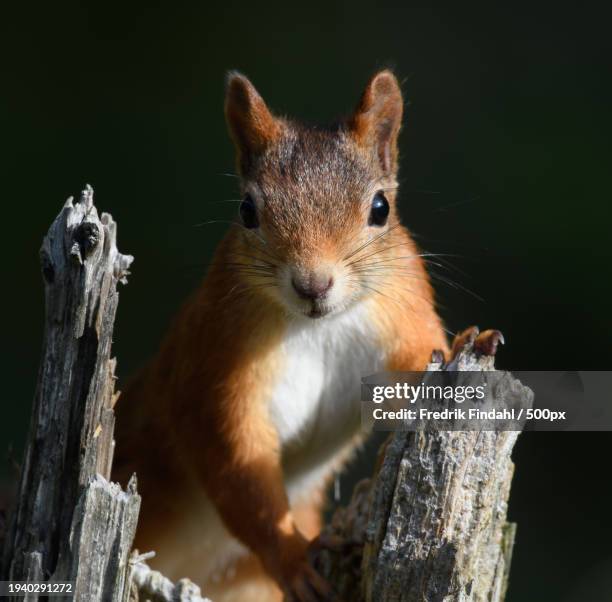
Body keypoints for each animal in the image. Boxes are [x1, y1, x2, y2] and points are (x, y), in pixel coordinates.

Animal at [113, 68, 502, 596]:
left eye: (380, 208)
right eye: (247, 210)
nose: (313, 285)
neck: (321, 327)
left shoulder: (402, 317)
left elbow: (419, 364)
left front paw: (467, 340)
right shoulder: (215, 369)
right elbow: (236, 463)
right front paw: (294, 559)